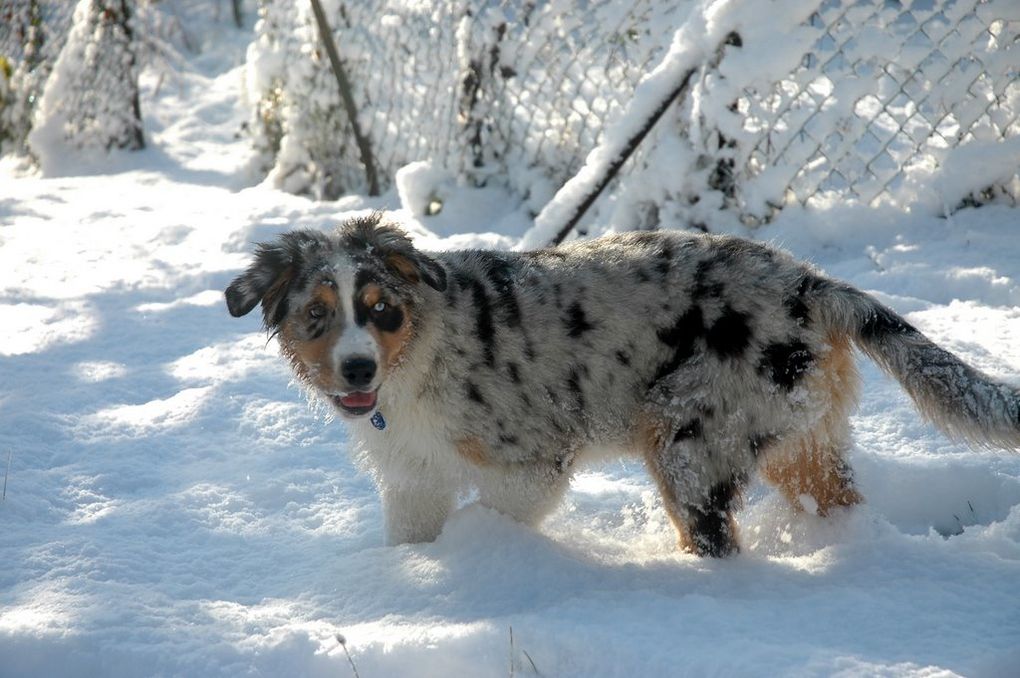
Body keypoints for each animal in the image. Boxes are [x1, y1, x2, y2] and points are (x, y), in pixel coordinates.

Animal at [225, 213, 1020, 554]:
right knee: (836, 501)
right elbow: (411, 537)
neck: (418, 355)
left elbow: (497, 515)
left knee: (712, 534)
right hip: (796, 436)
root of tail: (810, 282)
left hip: (690, 438)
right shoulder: (412, 478)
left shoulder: (533, 463)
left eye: (380, 310)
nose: (357, 369)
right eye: (317, 316)